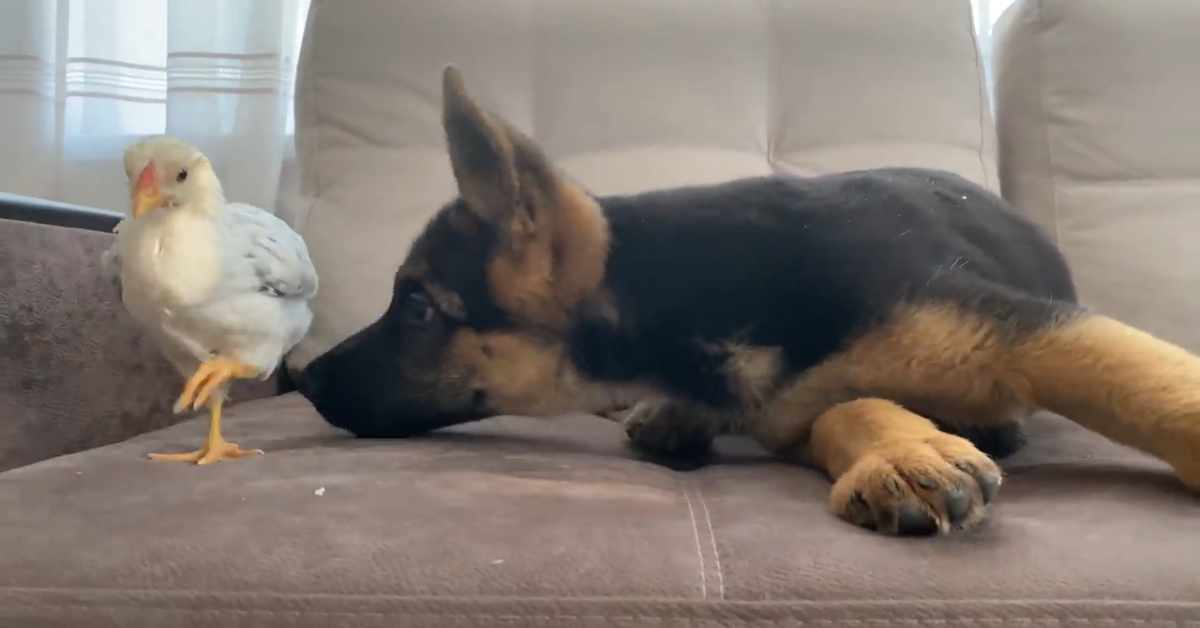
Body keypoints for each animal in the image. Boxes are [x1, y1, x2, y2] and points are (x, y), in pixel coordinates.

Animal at [297, 62, 1200, 535]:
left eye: (419, 307)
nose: (300, 381)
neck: (694, 289)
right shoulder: (792, 406)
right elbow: (848, 406)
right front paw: (902, 451)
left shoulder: (1031, 331)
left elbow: (1156, 383)